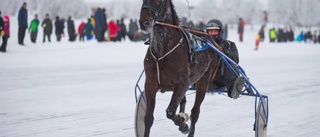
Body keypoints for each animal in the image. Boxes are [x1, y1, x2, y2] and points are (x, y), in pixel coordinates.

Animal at [139, 0, 219, 137]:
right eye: (142, 1)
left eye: (159, 1)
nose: (144, 22)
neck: (162, 52)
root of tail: (208, 38)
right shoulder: (150, 84)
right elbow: (148, 118)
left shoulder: (182, 84)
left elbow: (170, 111)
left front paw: (183, 125)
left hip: (203, 81)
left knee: (195, 112)